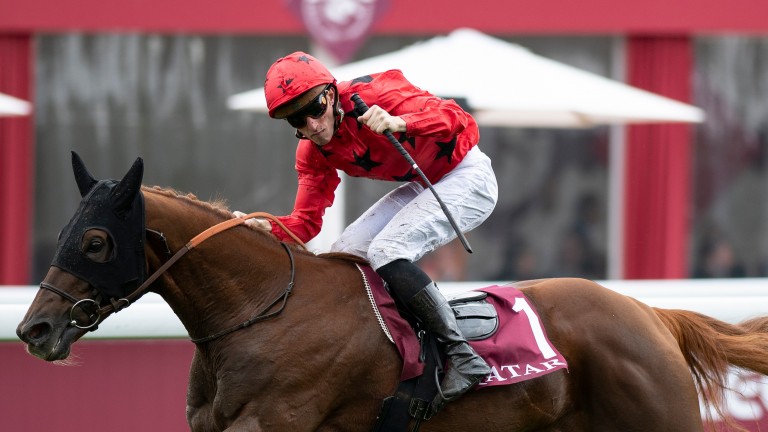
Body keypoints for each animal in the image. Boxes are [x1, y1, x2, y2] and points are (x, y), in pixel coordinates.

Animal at [16, 153, 768, 432]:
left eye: (95, 242)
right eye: (66, 231)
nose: (33, 330)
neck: (261, 311)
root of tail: (651, 313)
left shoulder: (278, 422)